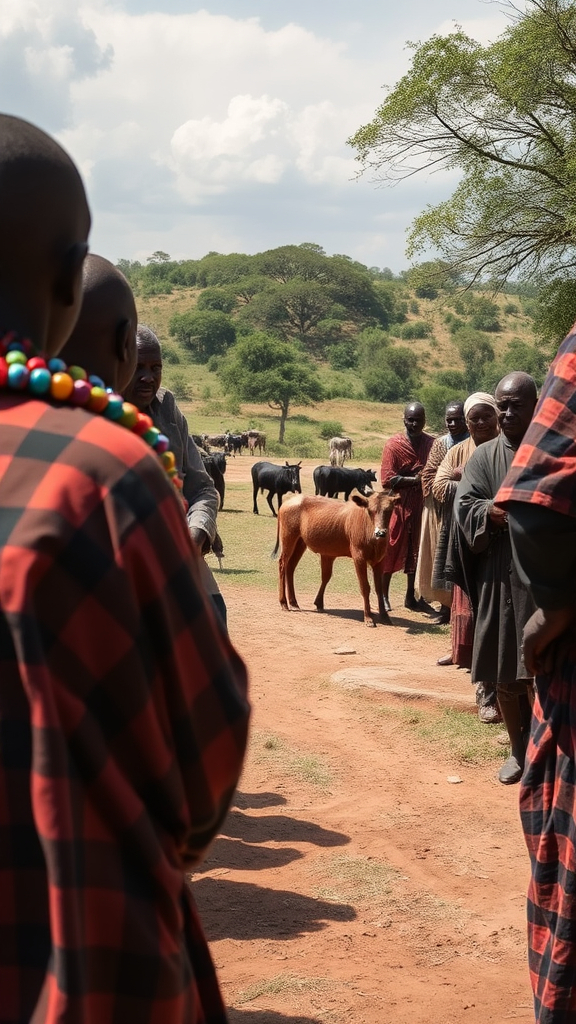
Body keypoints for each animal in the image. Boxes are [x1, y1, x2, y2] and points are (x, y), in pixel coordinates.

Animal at [272, 487, 399, 622]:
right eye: (370, 511)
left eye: (389, 510)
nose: (380, 532)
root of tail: (286, 503)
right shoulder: (359, 557)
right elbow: (365, 587)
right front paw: (368, 617)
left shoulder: (380, 560)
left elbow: (379, 588)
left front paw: (384, 616)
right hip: (288, 537)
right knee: (282, 564)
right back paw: (284, 602)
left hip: (300, 542)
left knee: (290, 567)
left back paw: (293, 602)